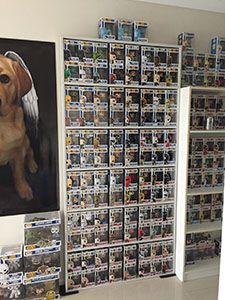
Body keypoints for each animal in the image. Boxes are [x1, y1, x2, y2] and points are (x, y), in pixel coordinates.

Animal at [0, 54, 37, 199]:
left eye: (4, 78)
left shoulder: (18, 150)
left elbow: (19, 173)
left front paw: (23, 189)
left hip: (25, 140)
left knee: (30, 152)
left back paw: (32, 165)